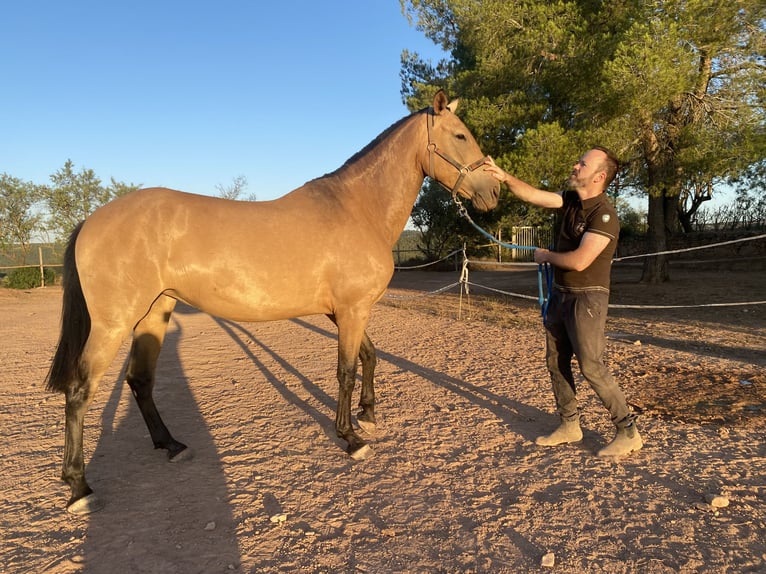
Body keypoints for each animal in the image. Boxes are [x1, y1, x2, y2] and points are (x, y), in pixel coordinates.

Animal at [48, 91, 504, 516]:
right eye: (460, 135)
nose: (495, 191)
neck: (357, 208)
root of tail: (91, 221)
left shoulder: (342, 312)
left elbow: (370, 357)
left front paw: (369, 414)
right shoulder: (352, 310)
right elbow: (346, 371)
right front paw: (351, 438)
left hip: (153, 315)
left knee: (140, 380)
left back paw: (171, 445)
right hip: (112, 323)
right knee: (79, 390)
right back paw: (80, 488)